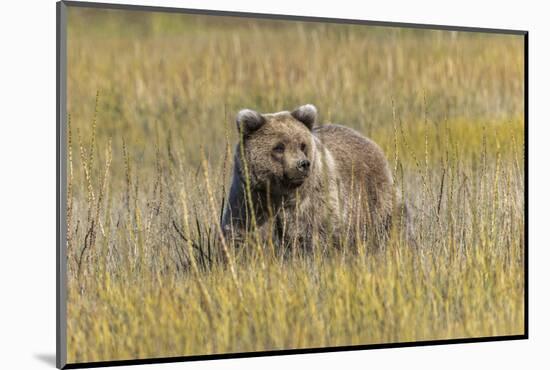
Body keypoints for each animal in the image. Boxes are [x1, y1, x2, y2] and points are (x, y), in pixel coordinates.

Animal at [222, 105, 408, 251]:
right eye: (279, 147)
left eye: (302, 145)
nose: (302, 164)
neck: (281, 193)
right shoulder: (251, 199)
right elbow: (242, 234)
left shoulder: (313, 203)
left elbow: (316, 235)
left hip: (373, 198)